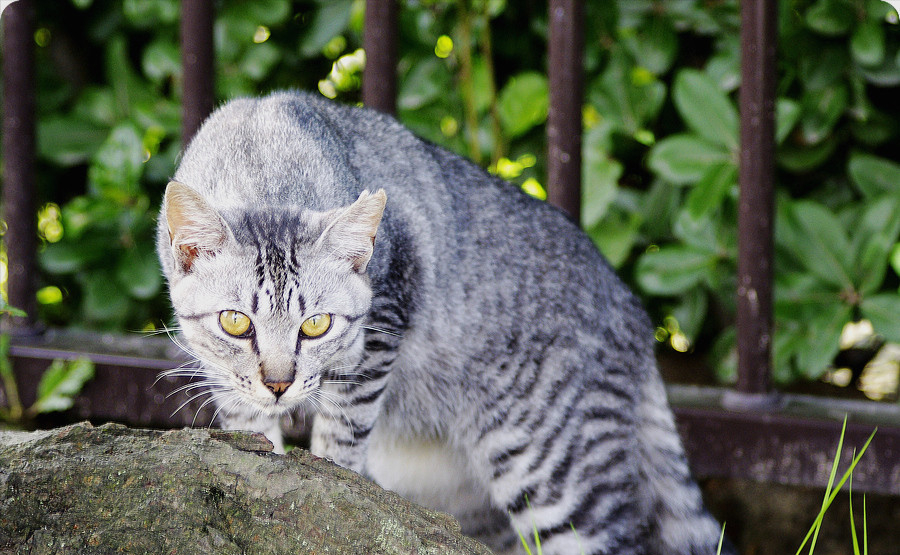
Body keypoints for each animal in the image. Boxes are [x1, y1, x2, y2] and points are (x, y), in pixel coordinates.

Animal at [156, 92, 732, 555]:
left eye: (316, 325)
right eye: (236, 323)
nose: (279, 384)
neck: (261, 159)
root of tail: (634, 310)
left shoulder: (383, 324)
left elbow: (342, 433)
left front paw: (327, 479)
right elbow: (246, 419)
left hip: (559, 472)